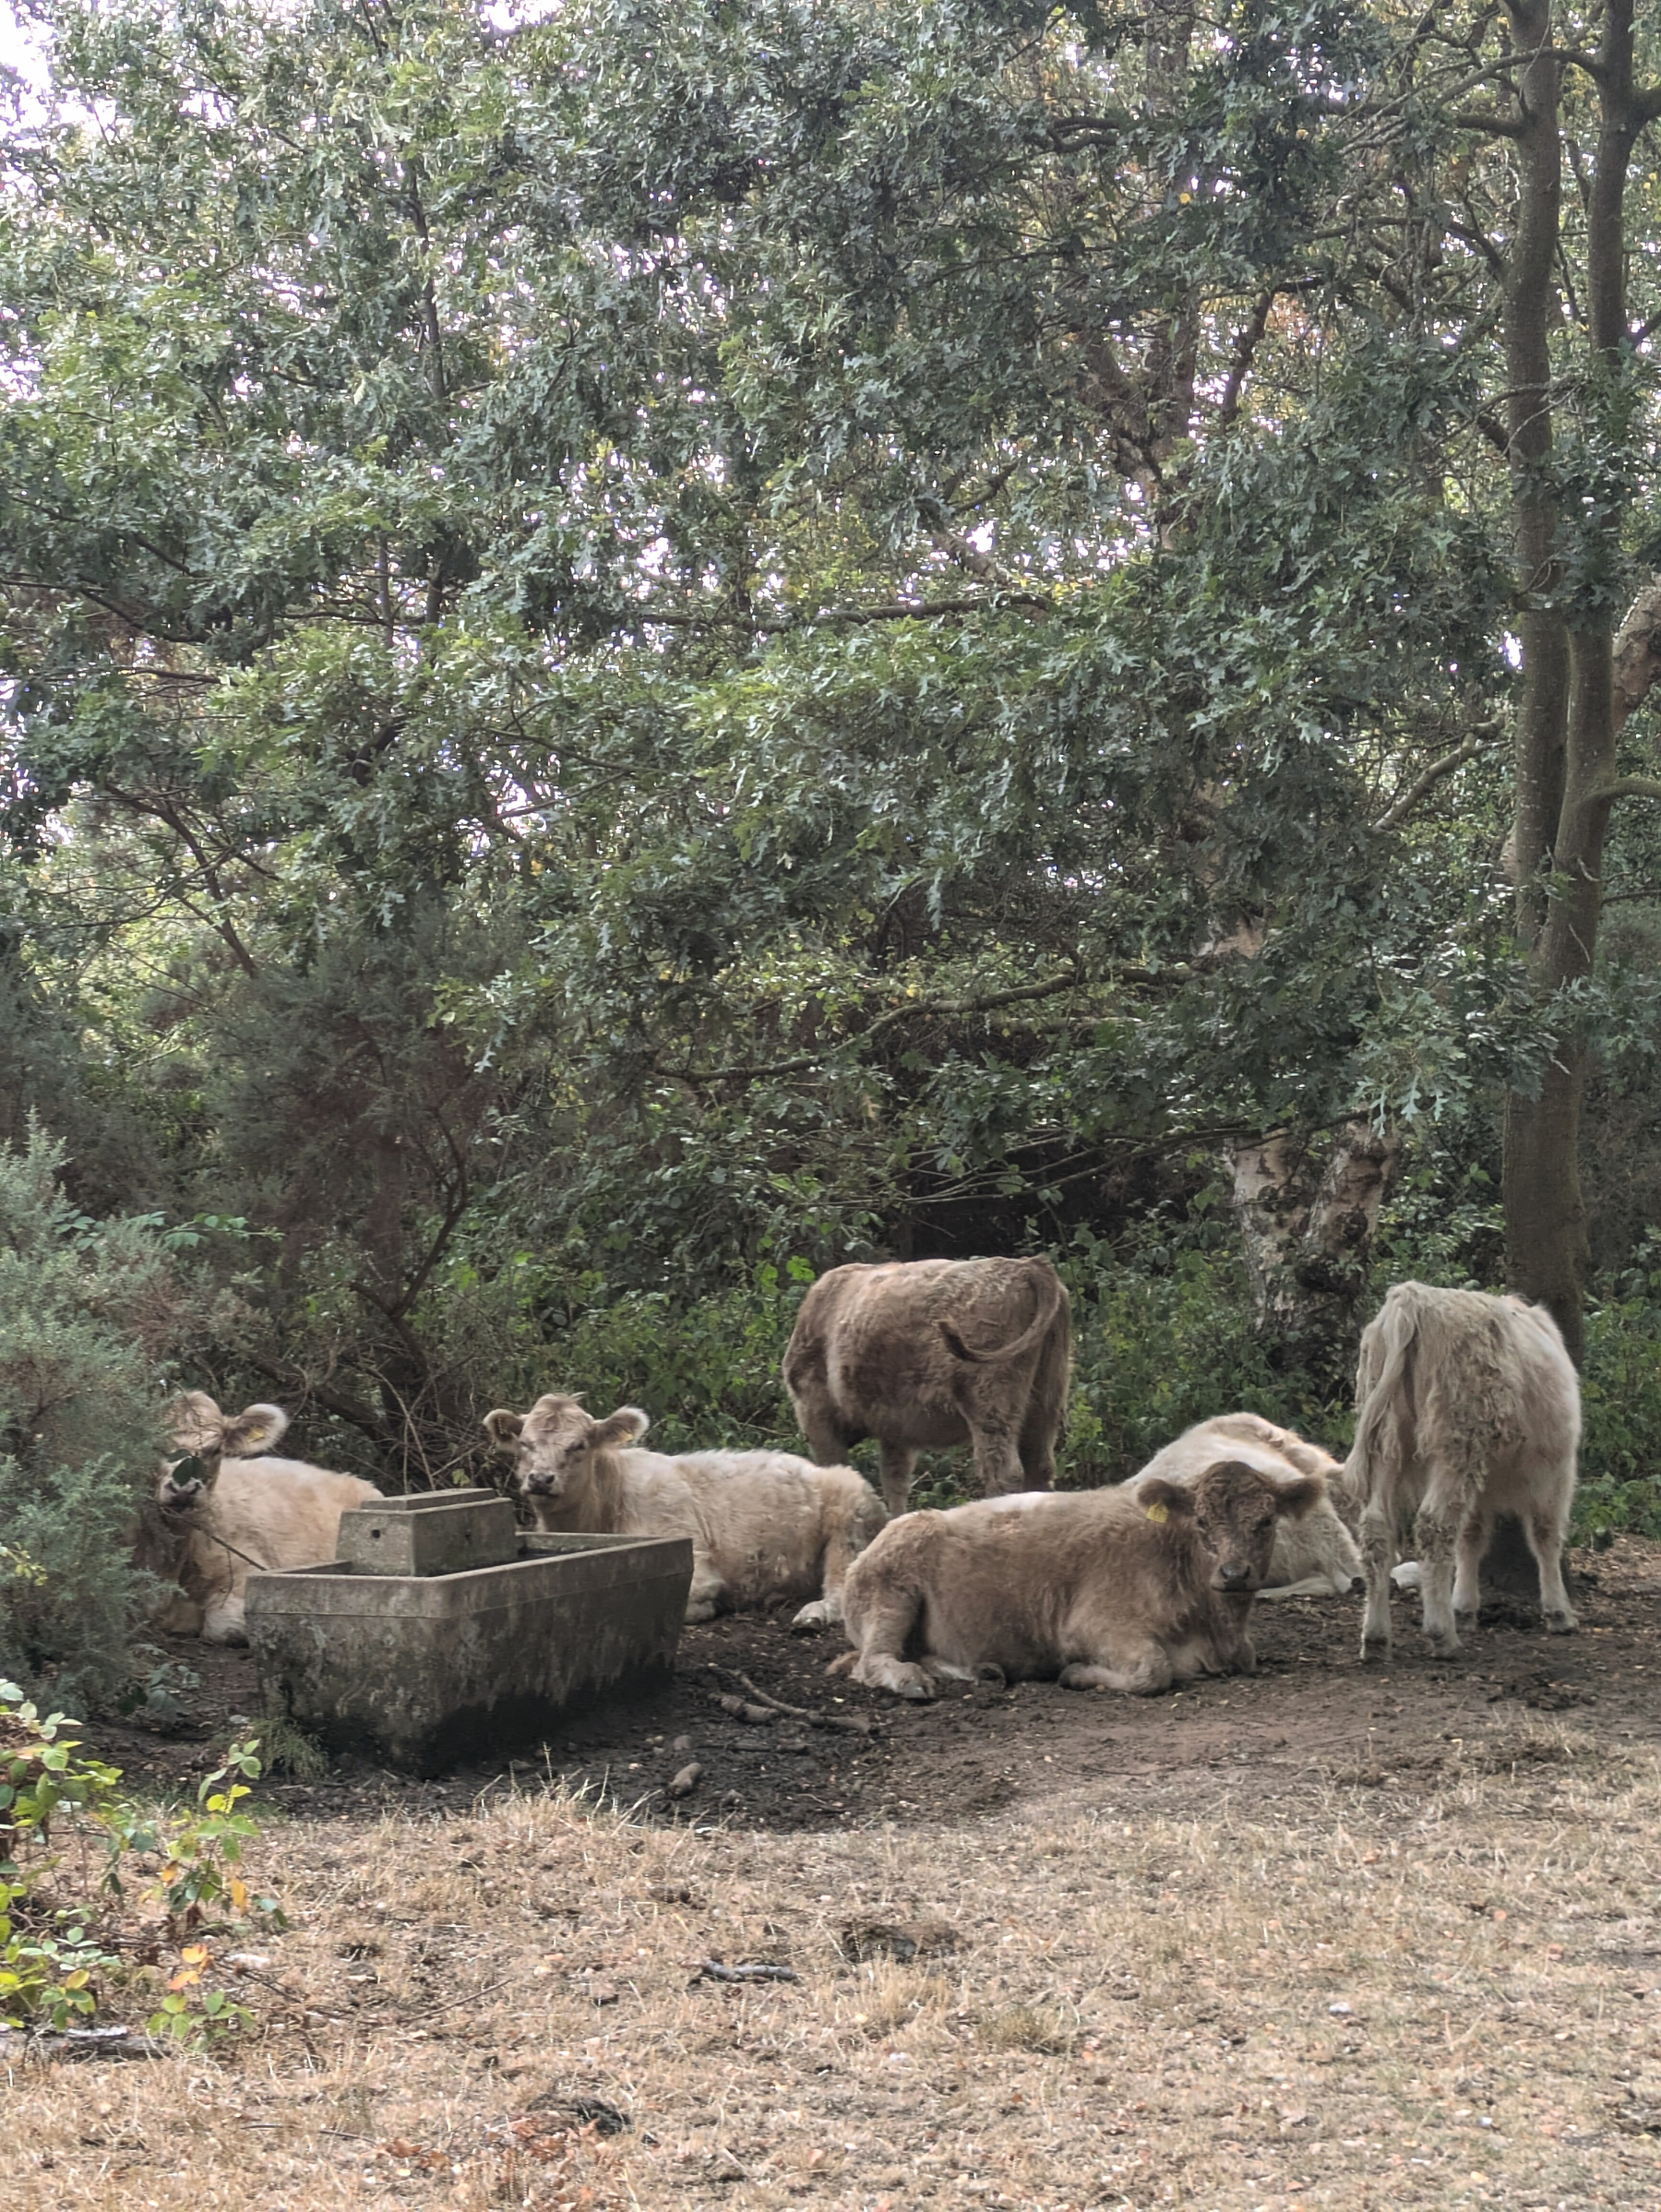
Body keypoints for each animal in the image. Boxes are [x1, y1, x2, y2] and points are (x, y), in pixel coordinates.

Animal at [482, 1395, 885, 1627]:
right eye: (524, 1444)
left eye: (578, 1445)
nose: (540, 1479)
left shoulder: (694, 1561)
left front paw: (710, 1608)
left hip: (849, 1525)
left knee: (842, 1588)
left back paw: (813, 1613)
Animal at [782, 1256, 1072, 1518]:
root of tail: (1026, 1265)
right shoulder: (894, 1429)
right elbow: (895, 1483)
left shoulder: (815, 1414)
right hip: (1046, 1402)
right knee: (1039, 1469)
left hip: (989, 1403)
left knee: (1003, 1473)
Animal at [833, 1456, 1326, 1699]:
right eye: (1201, 1522)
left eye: (1266, 1521)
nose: (1235, 1573)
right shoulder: (1092, 1626)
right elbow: (1154, 1669)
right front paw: (1076, 1675)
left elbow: (1247, 1656)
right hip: (890, 1596)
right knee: (872, 1661)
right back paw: (912, 1680)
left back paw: (980, 1671)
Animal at [1345, 1282, 1580, 1661]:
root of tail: (1412, 1297)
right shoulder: (1555, 1469)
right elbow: (1545, 1535)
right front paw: (1559, 1612)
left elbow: (1471, 1537)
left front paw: (1465, 1607)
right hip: (1457, 1445)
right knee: (1434, 1525)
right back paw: (1442, 1635)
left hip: (1386, 1445)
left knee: (1377, 1529)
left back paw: (1377, 1638)